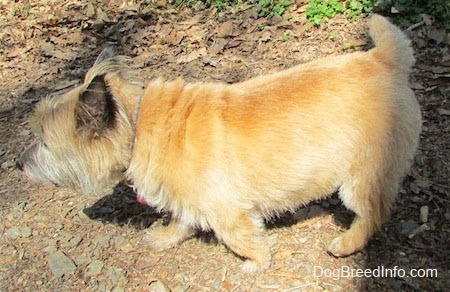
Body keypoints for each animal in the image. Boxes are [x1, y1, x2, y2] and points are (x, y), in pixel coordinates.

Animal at [16, 15, 418, 272]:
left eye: (44, 143)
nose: (18, 163)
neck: (140, 126)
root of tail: (383, 60)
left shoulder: (229, 213)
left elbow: (241, 238)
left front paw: (257, 263)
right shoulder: (188, 201)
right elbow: (180, 219)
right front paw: (166, 236)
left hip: (359, 180)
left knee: (373, 214)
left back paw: (347, 243)